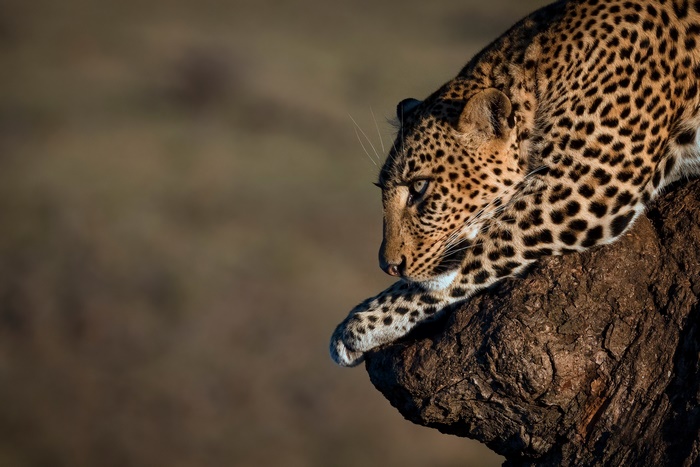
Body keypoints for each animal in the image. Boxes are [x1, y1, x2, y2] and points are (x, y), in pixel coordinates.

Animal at [330, 0, 700, 367]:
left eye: (419, 188)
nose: (389, 267)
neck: (538, 75)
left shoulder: (587, 181)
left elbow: (481, 250)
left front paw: (360, 324)